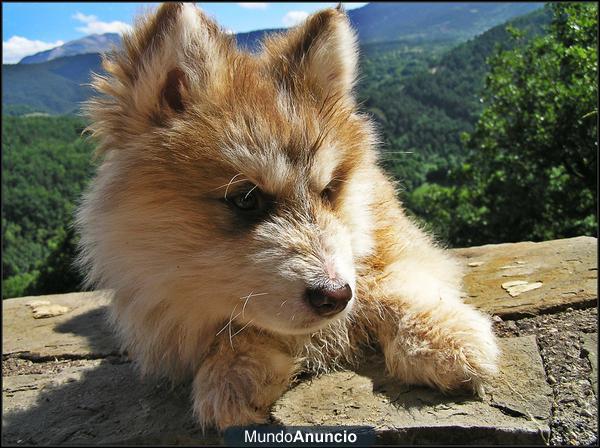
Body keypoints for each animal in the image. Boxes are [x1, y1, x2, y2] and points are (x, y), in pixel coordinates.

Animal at [77, 2, 502, 430]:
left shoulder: (393, 236)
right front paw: (232, 371)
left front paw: (442, 338)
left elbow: (393, 281)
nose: (336, 296)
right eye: (247, 200)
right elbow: (235, 327)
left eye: (329, 191)